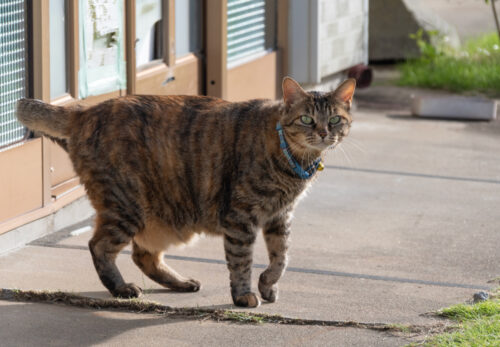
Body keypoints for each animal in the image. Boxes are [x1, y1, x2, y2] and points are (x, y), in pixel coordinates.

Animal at [16, 77, 356, 308]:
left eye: (335, 119)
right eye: (307, 119)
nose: (323, 132)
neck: (293, 162)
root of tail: (84, 111)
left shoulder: (280, 217)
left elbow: (281, 257)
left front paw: (267, 285)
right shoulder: (241, 217)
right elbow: (242, 260)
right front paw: (244, 294)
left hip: (162, 217)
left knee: (143, 255)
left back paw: (180, 283)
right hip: (127, 205)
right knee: (99, 245)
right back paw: (122, 288)